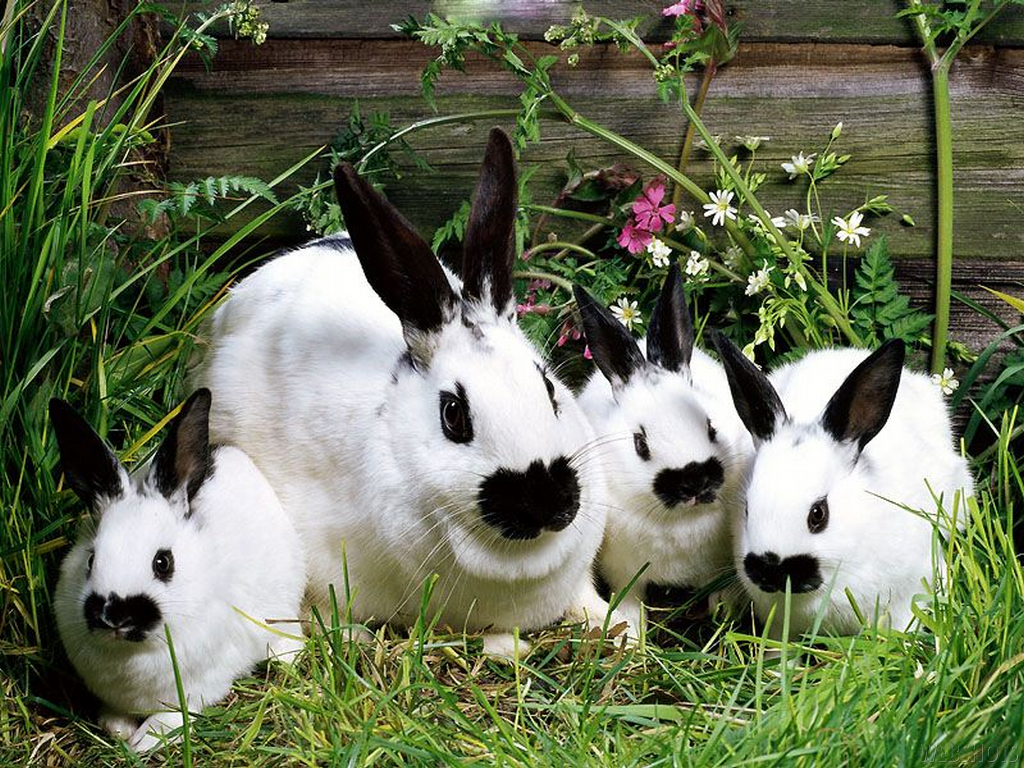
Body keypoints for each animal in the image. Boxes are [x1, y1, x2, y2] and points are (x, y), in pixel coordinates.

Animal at [50, 389, 305, 752]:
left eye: (163, 562)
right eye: (90, 560)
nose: (115, 616)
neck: (134, 653)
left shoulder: (198, 687)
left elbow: (172, 717)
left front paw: (142, 742)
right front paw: (118, 729)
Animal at [574, 264, 753, 630]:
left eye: (710, 425)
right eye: (640, 444)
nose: (694, 481)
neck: (681, 521)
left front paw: (723, 613)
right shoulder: (624, 570)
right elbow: (629, 598)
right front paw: (631, 634)